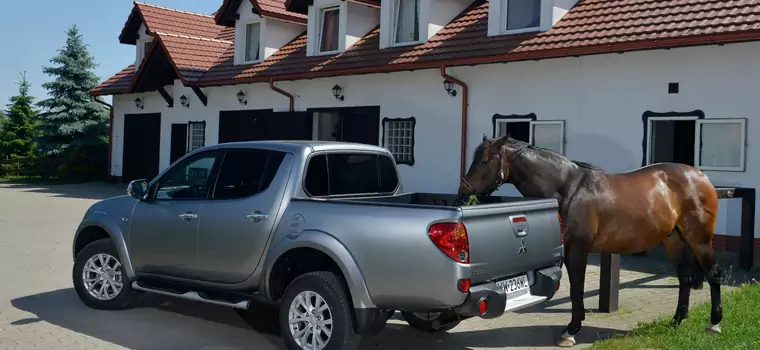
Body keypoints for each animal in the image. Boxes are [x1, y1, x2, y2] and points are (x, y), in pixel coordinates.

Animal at [458, 135, 724, 348]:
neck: (568, 189)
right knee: (684, 278)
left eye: (485, 160)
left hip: (699, 240)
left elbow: (577, 288)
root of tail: (700, 176)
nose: (463, 194)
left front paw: (571, 331)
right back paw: (676, 321)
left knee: (713, 275)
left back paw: (714, 324)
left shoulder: (578, 250)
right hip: (674, 240)